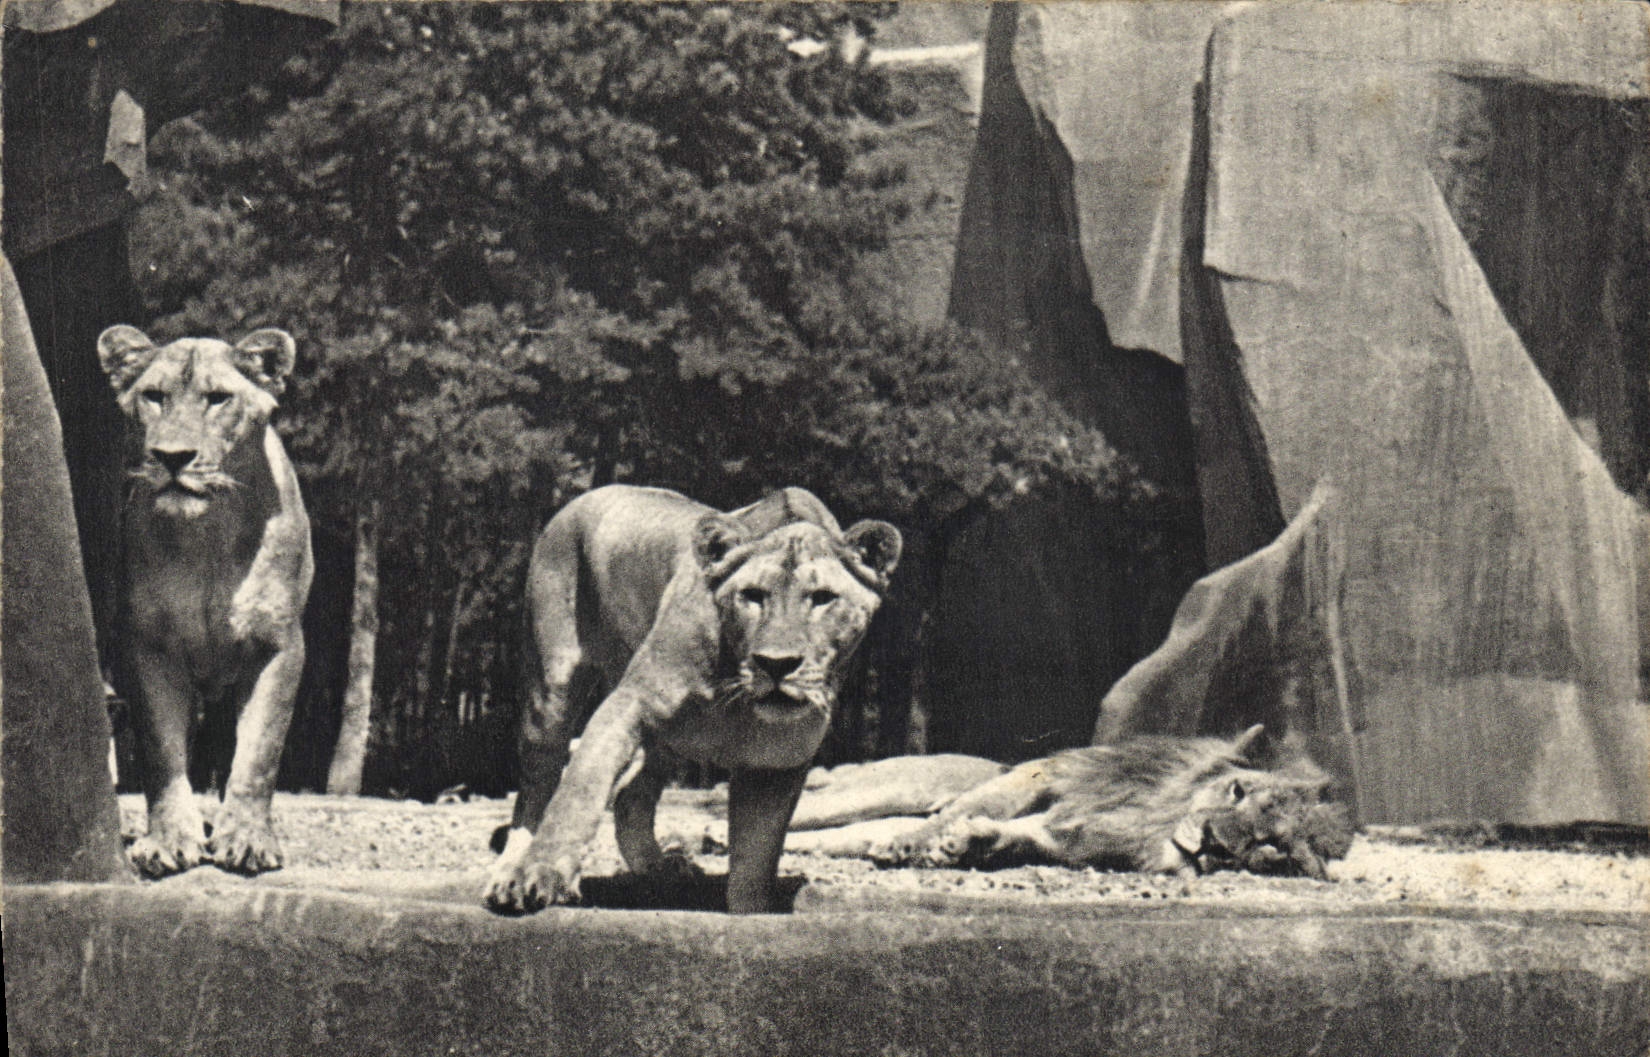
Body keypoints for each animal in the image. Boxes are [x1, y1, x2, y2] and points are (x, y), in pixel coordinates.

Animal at [97, 325, 313, 877]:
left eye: (217, 399)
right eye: (154, 397)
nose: (173, 457)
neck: (208, 536)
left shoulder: (278, 646)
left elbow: (260, 752)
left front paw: (248, 840)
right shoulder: (148, 648)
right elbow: (161, 752)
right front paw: (169, 839)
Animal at [484, 484, 902, 914]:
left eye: (822, 598)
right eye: (753, 596)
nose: (776, 664)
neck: (739, 698)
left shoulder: (778, 759)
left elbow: (756, 857)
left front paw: (750, 911)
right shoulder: (628, 705)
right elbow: (579, 792)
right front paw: (539, 874)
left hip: (666, 743)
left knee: (631, 796)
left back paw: (662, 870)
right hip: (551, 687)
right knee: (536, 789)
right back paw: (511, 871)